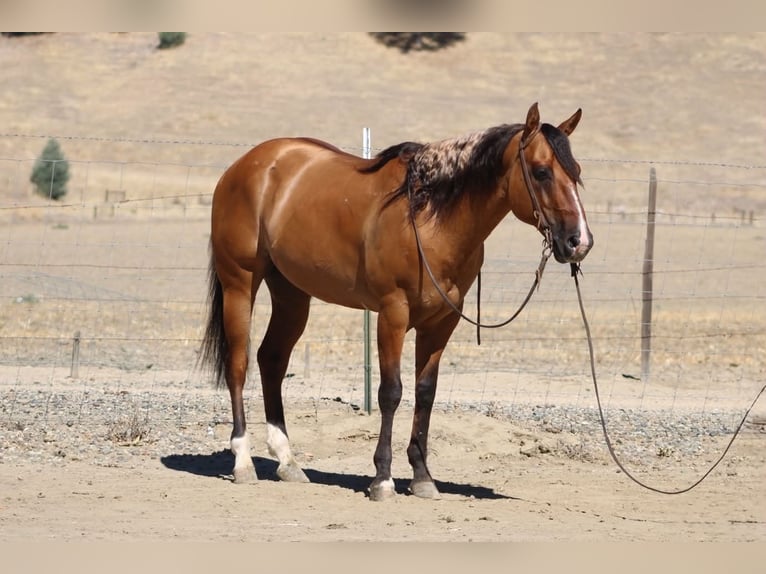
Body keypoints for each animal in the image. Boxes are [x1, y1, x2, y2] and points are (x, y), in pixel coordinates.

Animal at [199, 102, 593, 501]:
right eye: (542, 172)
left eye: (576, 171)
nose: (579, 242)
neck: (428, 217)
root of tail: (244, 166)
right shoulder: (393, 314)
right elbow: (391, 392)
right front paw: (383, 479)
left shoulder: (442, 322)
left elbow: (425, 392)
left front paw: (422, 477)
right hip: (240, 284)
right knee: (238, 364)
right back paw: (243, 462)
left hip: (292, 294)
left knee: (272, 360)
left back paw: (287, 461)